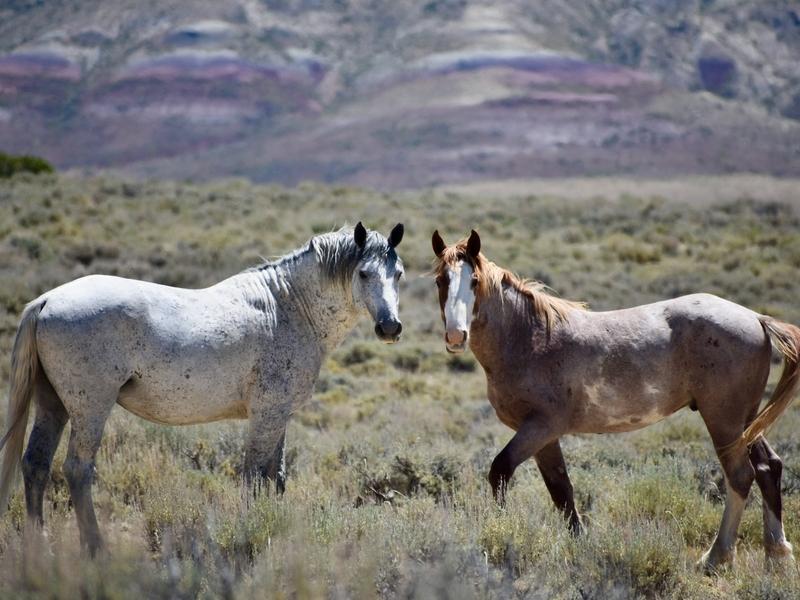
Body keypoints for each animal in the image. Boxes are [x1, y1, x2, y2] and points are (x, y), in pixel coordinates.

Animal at [0, 223, 400, 556]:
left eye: (398, 274)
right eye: (363, 273)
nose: (390, 327)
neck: (286, 308)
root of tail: (47, 301)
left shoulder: (279, 416)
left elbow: (277, 478)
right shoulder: (267, 415)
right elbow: (254, 478)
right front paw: (254, 533)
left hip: (53, 405)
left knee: (36, 464)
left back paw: (40, 546)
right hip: (90, 409)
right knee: (77, 469)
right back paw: (96, 548)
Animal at [432, 229, 800, 572]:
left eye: (474, 280)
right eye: (441, 280)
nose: (456, 336)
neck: (529, 338)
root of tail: (756, 318)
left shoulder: (539, 427)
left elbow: (501, 471)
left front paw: (501, 533)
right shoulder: (545, 437)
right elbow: (561, 490)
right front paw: (580, 548)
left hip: (723, 420)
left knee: (740, 476)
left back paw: (716, 557)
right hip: (745, 420)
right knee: (768, 466)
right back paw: (777, 554)